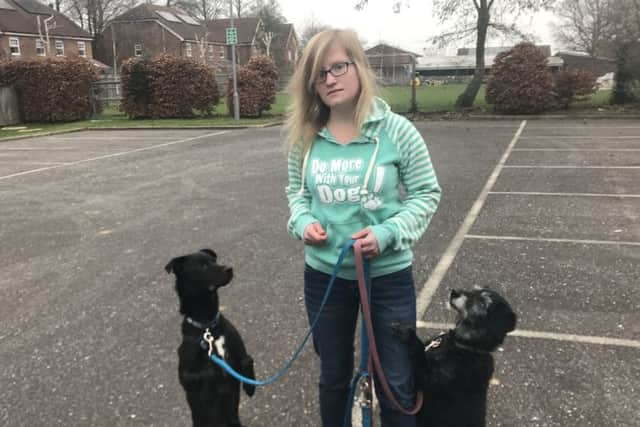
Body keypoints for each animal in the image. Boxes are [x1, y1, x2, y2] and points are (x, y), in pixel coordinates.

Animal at [165, 249, 255, 427]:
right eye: (203, 266)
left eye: (214, 261)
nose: (229, 268)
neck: (208, 328)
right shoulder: (186, 378)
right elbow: (206, 375)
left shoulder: (238, 352)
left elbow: (247, 360)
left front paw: (250, 387)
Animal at [392, 288, 516, 427]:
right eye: (475, 290)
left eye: (482, 304)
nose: (454, 292)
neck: (463, 346)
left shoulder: (429, 379)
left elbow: (418, 351)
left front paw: (407, 333)